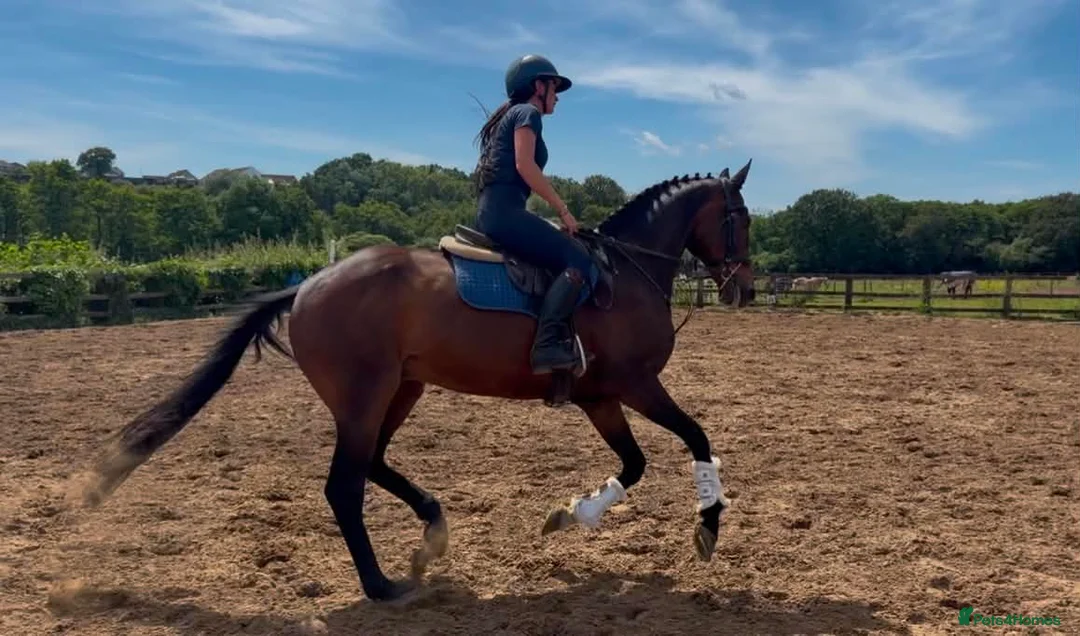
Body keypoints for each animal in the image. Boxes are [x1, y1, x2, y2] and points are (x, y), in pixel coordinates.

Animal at [74, 160, 757, 604]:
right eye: (741, 218)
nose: (745, 289)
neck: (626, 272)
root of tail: (308, 286)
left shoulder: (601, 397)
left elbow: (635, 463)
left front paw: (571, 515)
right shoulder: (635, 385)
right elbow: (696, 439)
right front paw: (707, 527)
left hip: (400, 390)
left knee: (375, 463)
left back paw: (431, 533)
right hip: (364, 397)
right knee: (344, 485)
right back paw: (381, 586)